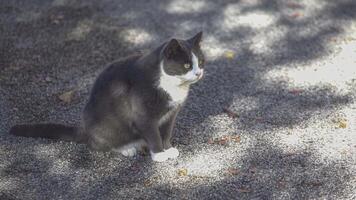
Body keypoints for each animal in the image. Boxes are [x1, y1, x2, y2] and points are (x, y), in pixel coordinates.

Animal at [9, 31, 204, 162]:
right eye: (186, 65)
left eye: (201, 62)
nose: (198, 73)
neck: (171, 84)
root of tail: (85, 129)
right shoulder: (144, 115)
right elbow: (154, 134)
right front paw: (159, 155)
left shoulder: (171, 114)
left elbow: (166, 132)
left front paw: (168, 149)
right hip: (109, 126)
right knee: (98, 145)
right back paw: (126, 149)